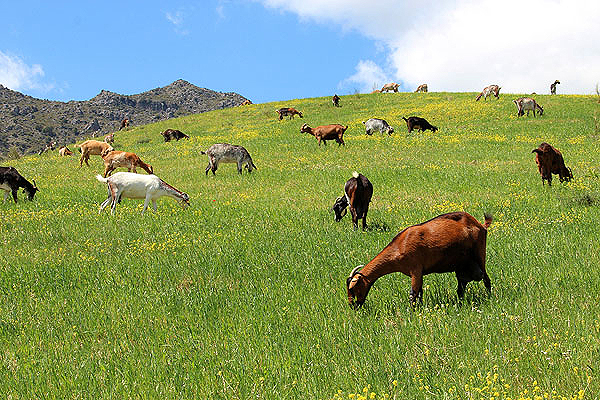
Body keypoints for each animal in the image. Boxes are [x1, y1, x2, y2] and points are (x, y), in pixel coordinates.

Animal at [346, 211, 492, 308]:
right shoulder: (419, 272)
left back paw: (489, 297)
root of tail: (481, 225)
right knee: (461, 286)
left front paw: (411, 312)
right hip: (462, 264)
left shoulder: (415, 269)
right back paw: (460, 302)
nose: (353, 306)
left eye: (353, 289)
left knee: (486, 279)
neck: (399, 246)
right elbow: (420, 292)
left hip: (480, 254)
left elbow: (413, 293)